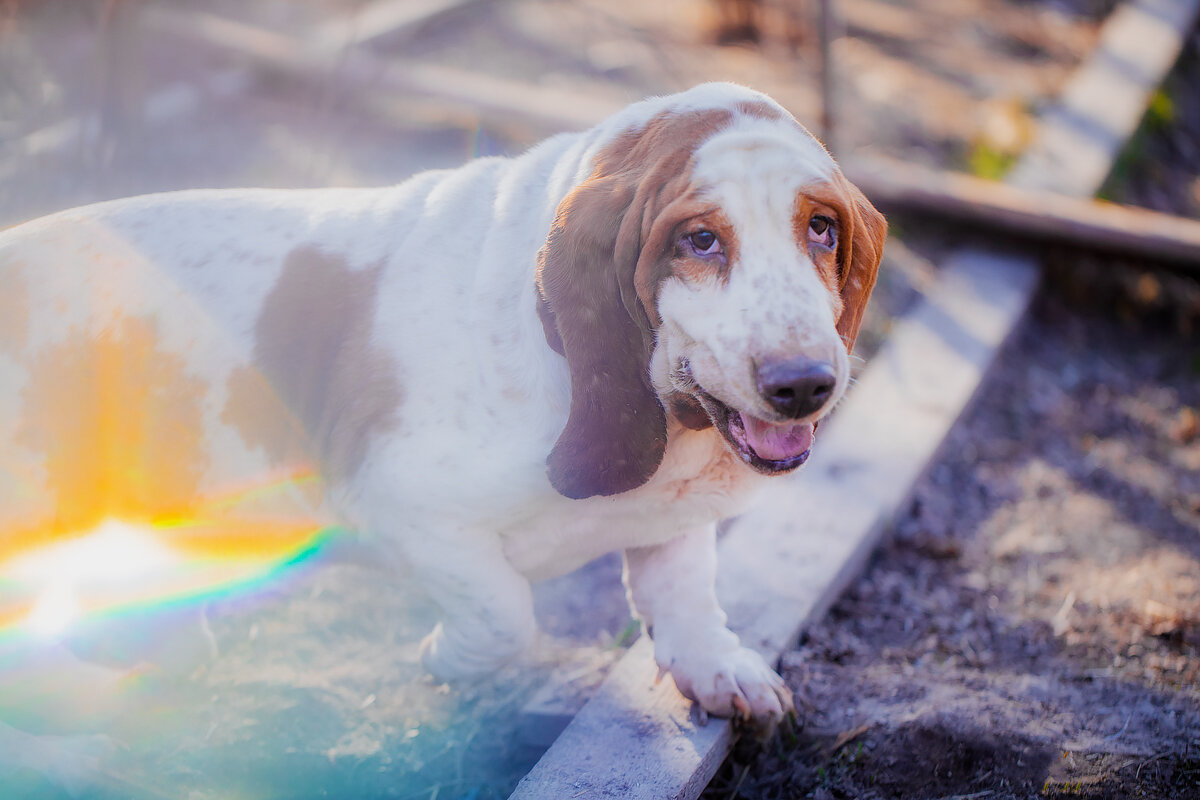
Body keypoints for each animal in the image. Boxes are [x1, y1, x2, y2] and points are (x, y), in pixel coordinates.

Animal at [0, 81, 883, 724]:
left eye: (822, 228)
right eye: (700, 239)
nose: (805, 382)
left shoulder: (674, 516)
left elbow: (686, 588)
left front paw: (721, 669)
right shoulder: (403, 508)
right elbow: (504, 614)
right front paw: (442, 662)